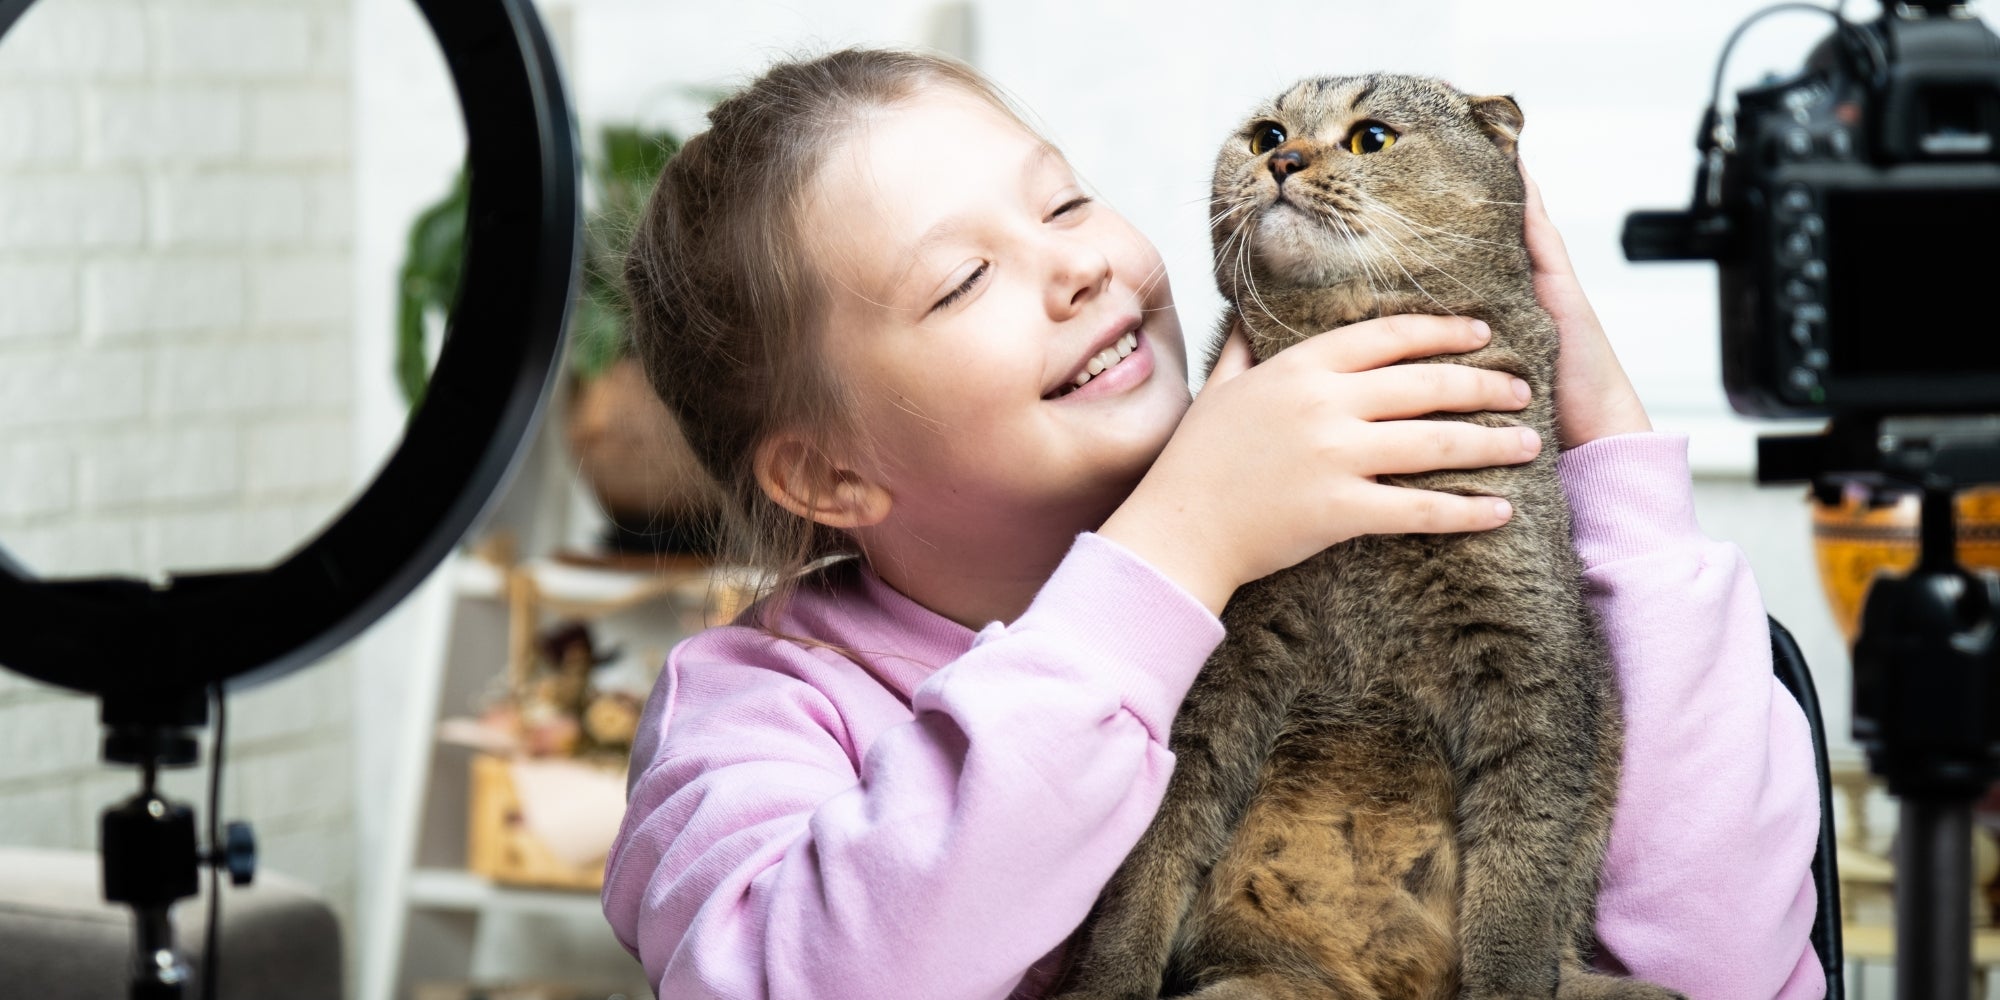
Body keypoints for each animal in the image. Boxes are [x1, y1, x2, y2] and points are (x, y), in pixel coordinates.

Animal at [1056, 74, 1680, 996]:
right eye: (1266, 134)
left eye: (1372, 138)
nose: (1283, 160)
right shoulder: (1213, 673)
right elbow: (1149, 861)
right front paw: (1107, 982)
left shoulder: (1530, 667)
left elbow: (1519, 883)